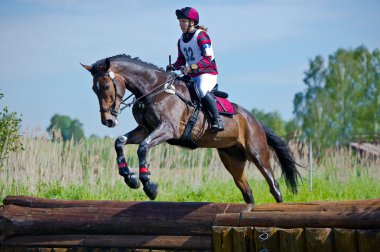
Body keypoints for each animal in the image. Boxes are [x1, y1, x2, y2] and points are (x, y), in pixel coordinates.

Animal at [81, 54, 302, 204]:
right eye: (93, 89)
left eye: (106, 87)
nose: (108, 121)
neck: (152, 89)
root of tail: (255, 120)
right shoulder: (144, 129)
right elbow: (119, 142)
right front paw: (130, 178)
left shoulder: (167, 130)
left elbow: (143, 148)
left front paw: (149, 185)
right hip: (232, 159)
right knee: (247, 192)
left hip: (257, 153)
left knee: (274, 186)